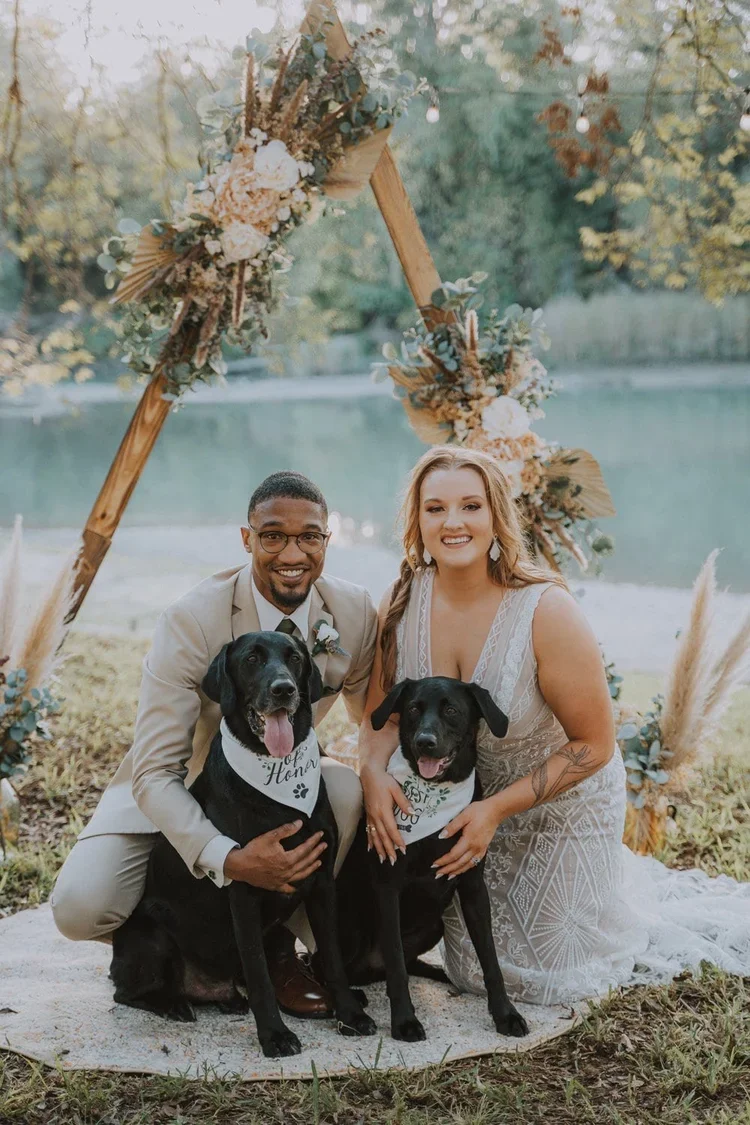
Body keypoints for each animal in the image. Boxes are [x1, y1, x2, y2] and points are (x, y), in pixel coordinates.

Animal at [335, 676, 529, 1043]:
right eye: (413, 708)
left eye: (451, 710)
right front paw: (404, 1021)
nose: (425, 742)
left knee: (406, 963)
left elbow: (490, 959)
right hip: (351, 926)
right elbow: (396, 964)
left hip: (435, 924)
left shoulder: (473, 887)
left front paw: (505, 1014)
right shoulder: (388, 888)